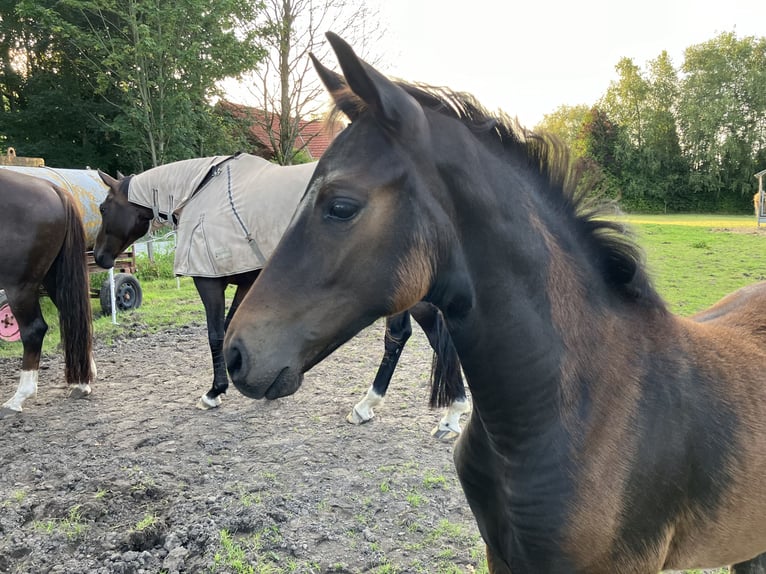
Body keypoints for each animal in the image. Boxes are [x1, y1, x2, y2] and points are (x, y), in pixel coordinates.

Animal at [0, 169, 95, 416]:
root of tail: (54, 189)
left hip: (20, 286)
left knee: (34, 330)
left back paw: (18, 399)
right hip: (55, 277)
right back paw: (82, 382)